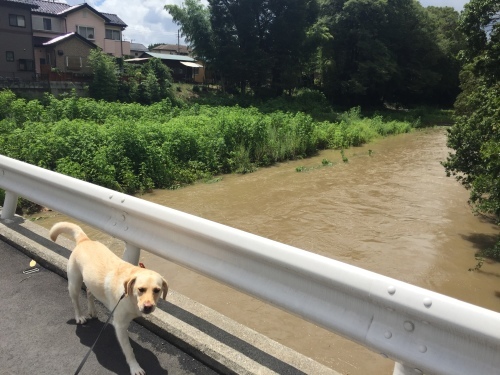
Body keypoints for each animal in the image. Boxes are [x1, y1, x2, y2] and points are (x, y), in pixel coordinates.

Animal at [49, 223, 169, 375]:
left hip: (91, 282)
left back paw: (92, 311)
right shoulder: (119, 325)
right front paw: (135, 367)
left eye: (157, 290)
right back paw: (80, 316)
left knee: (89, 292)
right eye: (140, 289)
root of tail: (84, 240)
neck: (130, 297)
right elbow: (128, 350)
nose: (148, 307)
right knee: (75, 301)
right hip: (74, 283)